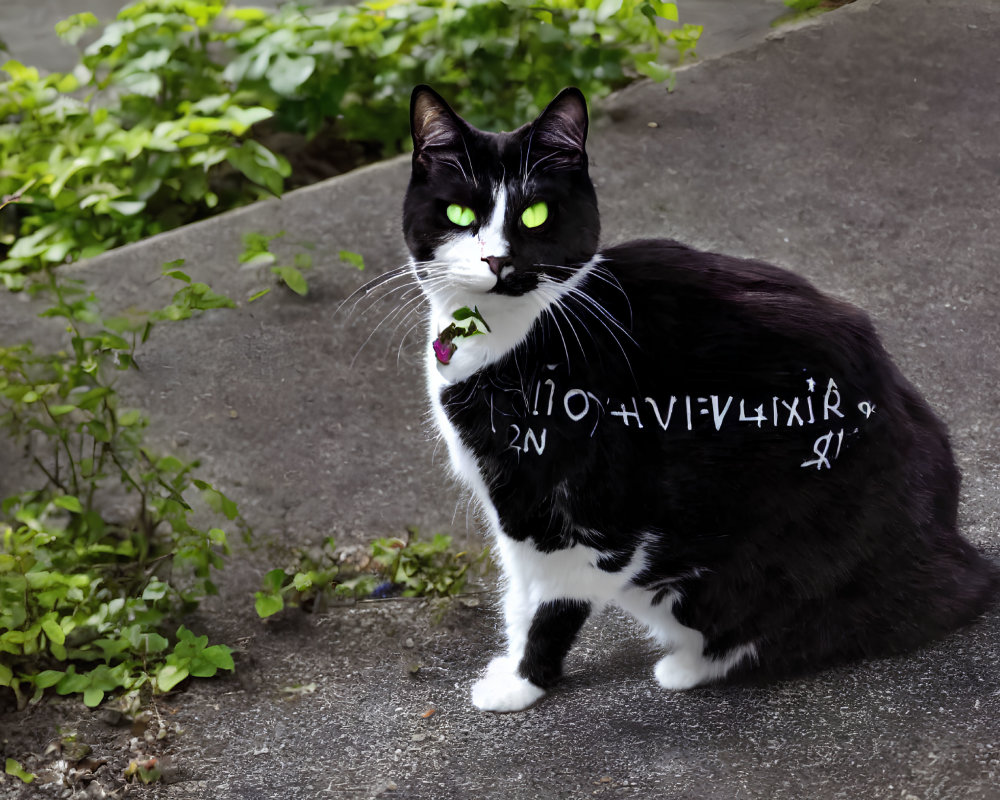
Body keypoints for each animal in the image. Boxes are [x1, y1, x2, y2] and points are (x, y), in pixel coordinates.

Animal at [394, 86, 996, 712]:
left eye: (536, 213)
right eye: (459, 214)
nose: (497, 260)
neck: (510, 338)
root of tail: (956, 551)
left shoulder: (583, 512)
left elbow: (551, 601)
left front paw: (522, 684)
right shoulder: (511, 509)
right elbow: (517, 592)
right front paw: (512, 666)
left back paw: (686, 666)